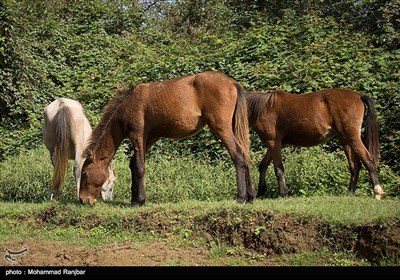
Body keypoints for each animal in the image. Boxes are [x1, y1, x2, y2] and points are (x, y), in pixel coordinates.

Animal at [79, 70, 253, 206]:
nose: (82, 199)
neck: (128, 103)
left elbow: (140, 167)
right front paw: (134, 199)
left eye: (85, 173)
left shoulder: (137, 134)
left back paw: (240, 197)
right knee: (245, 155)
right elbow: (134, 164)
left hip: (221, 128)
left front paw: (140, 200)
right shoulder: (149, 138)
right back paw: (250, 196)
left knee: (238, 156)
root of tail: (232, 83)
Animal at [247, 88, 384, 200]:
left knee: (369, 160)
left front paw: (283, 193)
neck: (264, 107)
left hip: (352, 137)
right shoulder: (273, 144)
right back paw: (350, 192)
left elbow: (278, 169)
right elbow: (263, 166)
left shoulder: (273, 142)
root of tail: (359, 96)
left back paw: (377, 192)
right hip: (345, 140)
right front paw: (260, 192)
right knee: (355, 165)